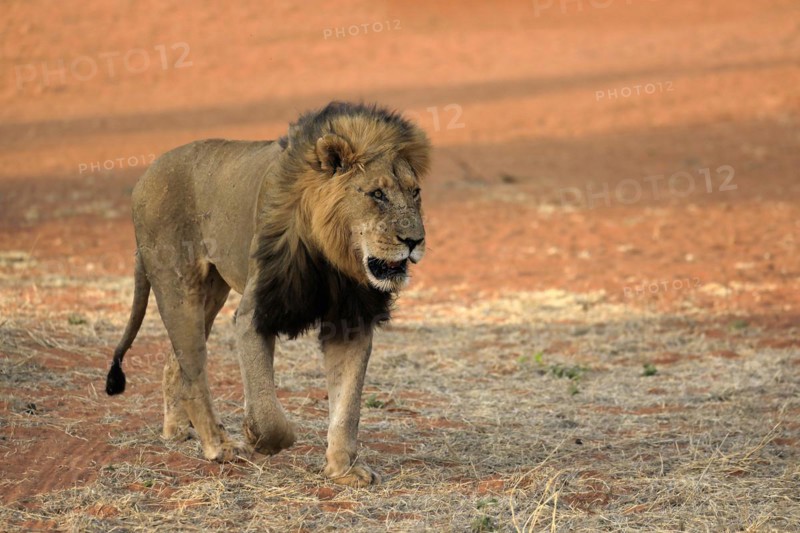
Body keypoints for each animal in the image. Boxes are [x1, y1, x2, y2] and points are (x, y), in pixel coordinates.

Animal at [104, 101, 430, 487]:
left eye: (415, 193)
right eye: (377, 194)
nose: (415, 240)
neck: (333, 256)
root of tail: (146, 174)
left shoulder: (351, 321)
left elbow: (348, 405)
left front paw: (343, 469)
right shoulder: (255, 312)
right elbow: (268, 412)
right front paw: (258, 437)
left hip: (212, 292)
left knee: (176, 364)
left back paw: (177, 431)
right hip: (179, 287)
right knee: (194, 372)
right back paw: (218, 446)